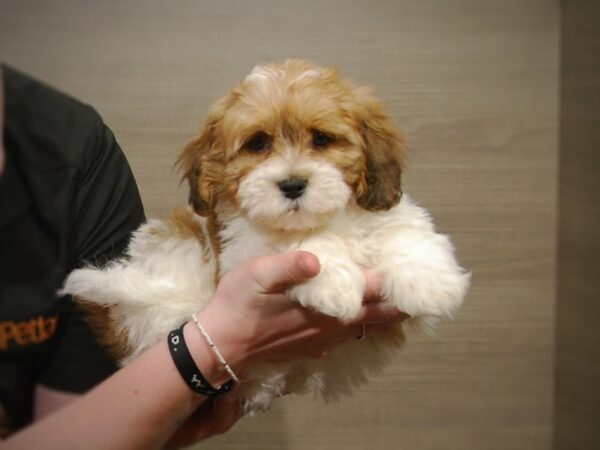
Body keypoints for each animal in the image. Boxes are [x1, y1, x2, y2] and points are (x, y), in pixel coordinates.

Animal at [63, 59, 472, 412]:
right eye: (257, 143)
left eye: (321, 139)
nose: (292, 184)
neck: (325, 219)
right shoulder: (241, 249)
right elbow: (294, 241)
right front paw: (332, 282)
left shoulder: (381, 212)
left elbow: (402, 228)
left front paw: (431, 282)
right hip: (174, 255)